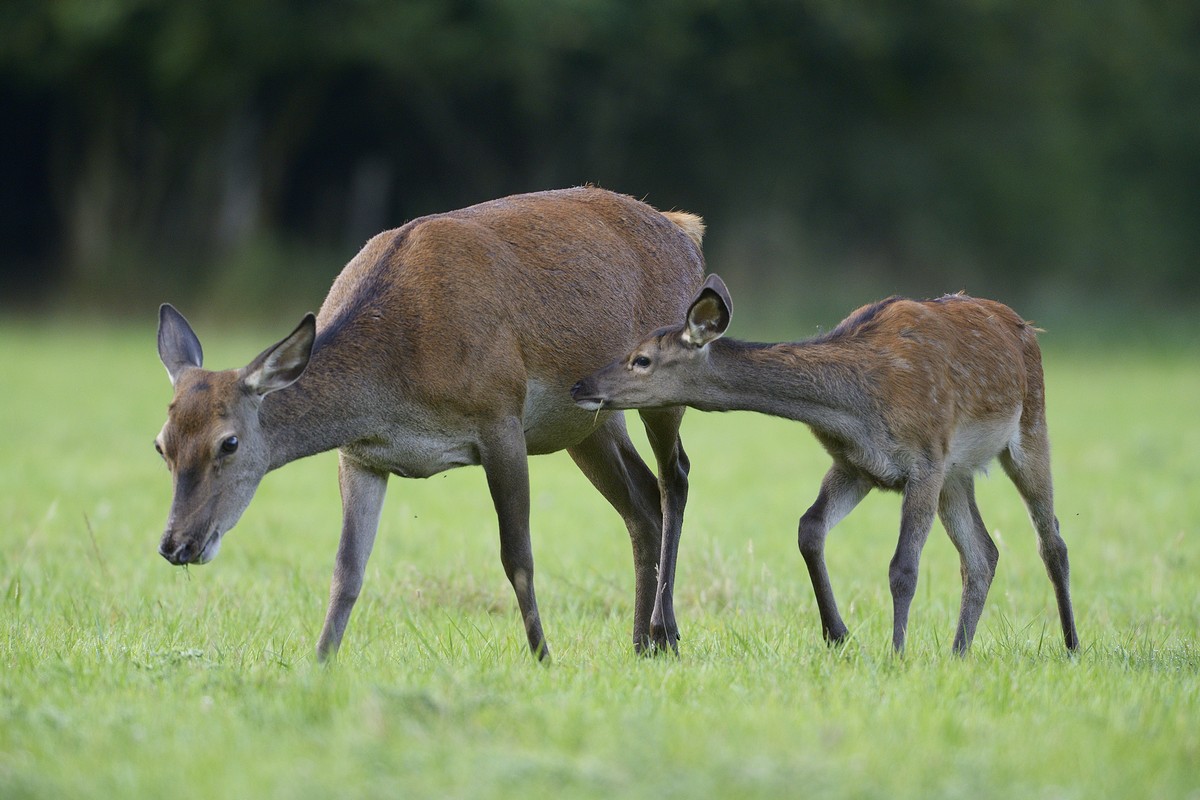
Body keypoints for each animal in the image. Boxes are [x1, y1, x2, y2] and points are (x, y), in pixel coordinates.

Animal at [154, 188, 705, 662]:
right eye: (162, 445)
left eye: (228, 443)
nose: (176, 545)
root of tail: (685, 230)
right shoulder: (359, 455)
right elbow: (346, 571)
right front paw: (320, 663)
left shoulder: (500, 416)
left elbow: (518, 557)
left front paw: (544, 659)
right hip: (590, 422)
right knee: (641, 502)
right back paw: (641, 644)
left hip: (665, 380)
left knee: (675, 478)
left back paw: (666, 632)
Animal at [568, 275, 1080, 657]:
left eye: (641, 359)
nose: (580, 386)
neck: (855, 404)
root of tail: (1027, 327)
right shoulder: (855, 464)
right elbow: (809, 529)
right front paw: (839, 635)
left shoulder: (924, 460)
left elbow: (903, 567)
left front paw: (896, 653)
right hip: (959, 474)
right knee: (983, 554)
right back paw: (958, 653)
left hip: (1029, 429)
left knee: (1051, 539)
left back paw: (1072, 645)